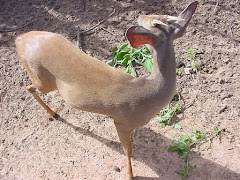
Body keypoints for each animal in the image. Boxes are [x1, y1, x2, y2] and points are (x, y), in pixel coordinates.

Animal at [15, 1, 198, 180]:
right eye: (150, 19)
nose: (140, 15)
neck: (148, 93)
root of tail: (20, 40)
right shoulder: (122, 122)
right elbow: (128, 151)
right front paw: (130, 175)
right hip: (43, 80)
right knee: (29, 87)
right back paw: (53, 113)